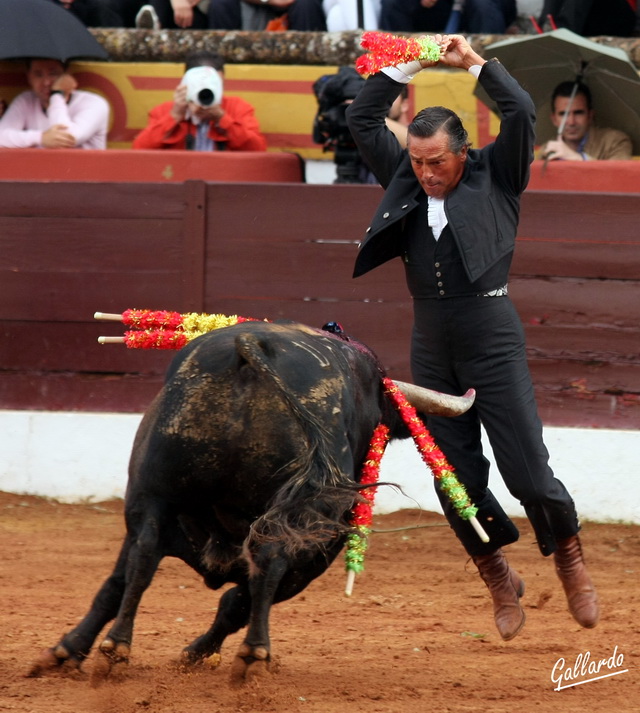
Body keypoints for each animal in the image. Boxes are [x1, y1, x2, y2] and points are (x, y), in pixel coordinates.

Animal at [28, 320, 476, 680]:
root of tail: (253, 344)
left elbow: (118, 581)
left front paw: (66, 651)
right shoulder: (316, 556)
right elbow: (239, 600)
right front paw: (195, 653)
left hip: (151, 491)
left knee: (143, 555)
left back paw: (116, 649)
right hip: (301, 526)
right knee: (268, 562)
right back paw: (253, 657)